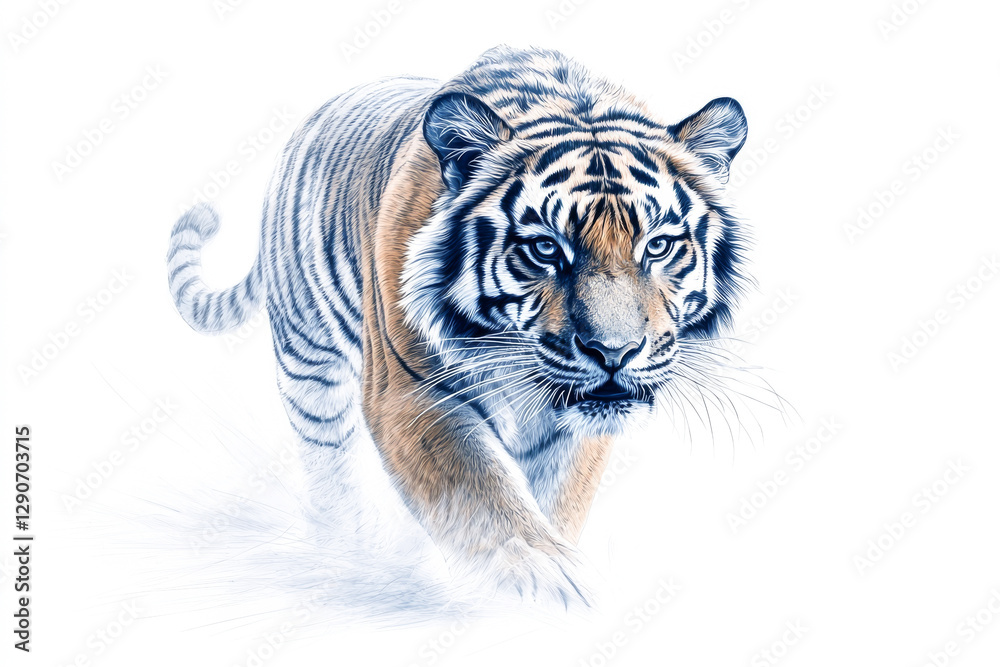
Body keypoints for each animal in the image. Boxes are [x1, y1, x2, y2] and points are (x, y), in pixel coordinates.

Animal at [166, 45, 750, 607]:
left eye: (659, 245)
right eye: (545, 248)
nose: (614, 353)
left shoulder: (574, 429)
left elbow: (556, 498)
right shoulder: (412, 394)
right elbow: (479, 495)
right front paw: (544, 582)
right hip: (310, 365)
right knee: (329, 465)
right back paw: (345, 555)